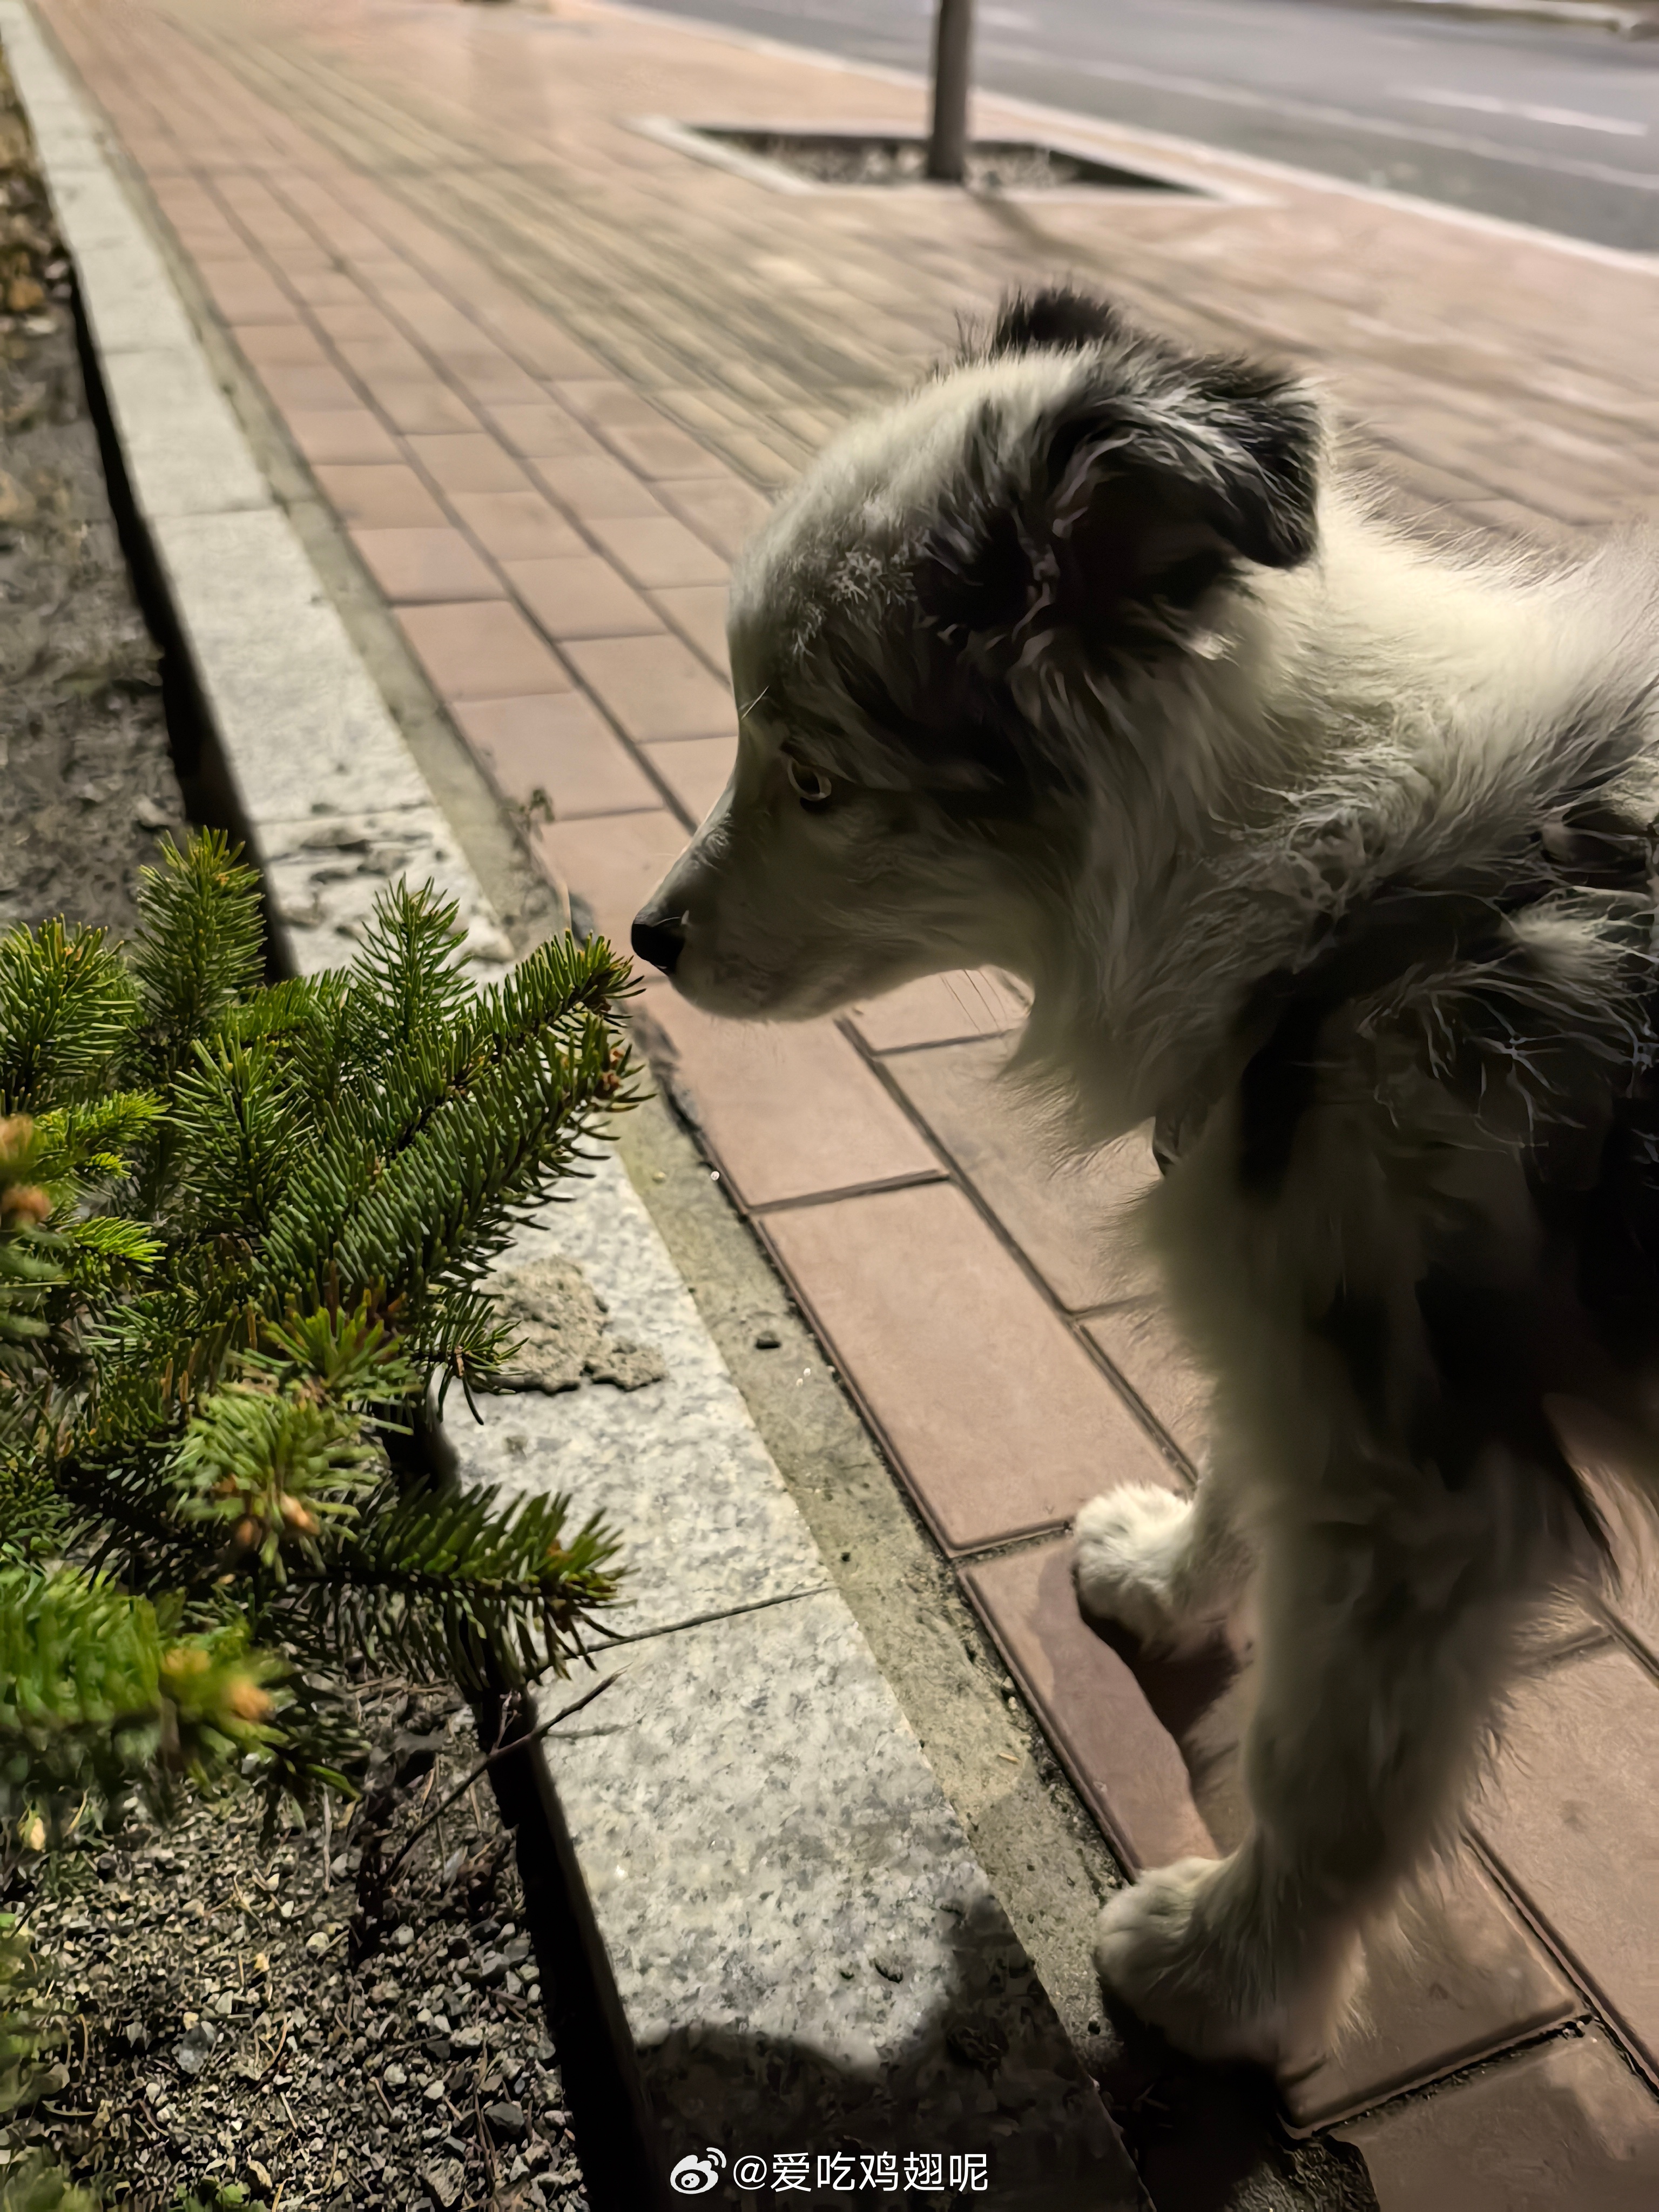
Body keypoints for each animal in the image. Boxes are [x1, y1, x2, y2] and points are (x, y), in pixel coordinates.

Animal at [628, 285, 1659, 2061]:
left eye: (814, 781)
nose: (646, 935)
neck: (1325, 894)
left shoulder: (1419, 1485)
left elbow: (1323, 1779)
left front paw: (1221, 1975)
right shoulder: (1286, 1316)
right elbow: (1236, 1458)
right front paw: (1165, 1576)